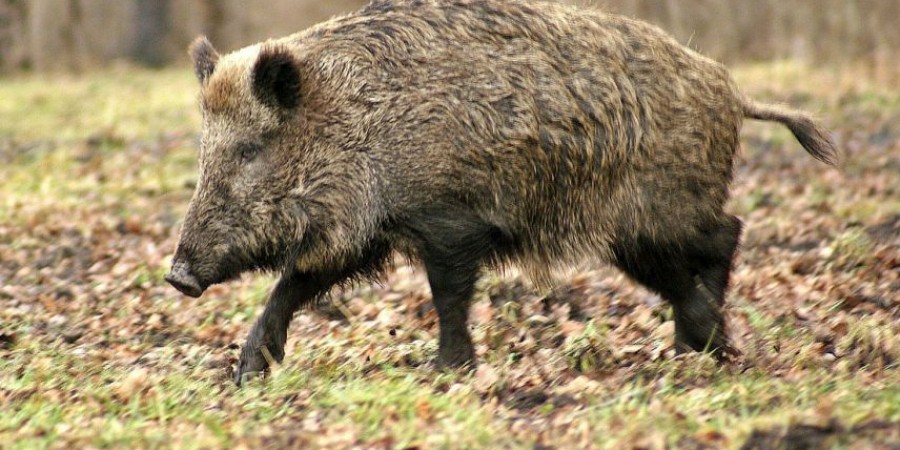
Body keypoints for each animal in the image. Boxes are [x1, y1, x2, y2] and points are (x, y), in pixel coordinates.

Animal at [164, 0, 838, 385]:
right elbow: (296, 282)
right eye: (204, 149)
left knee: (726, 236)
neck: (362, 121)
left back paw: (709, 349)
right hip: (643, 230)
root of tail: (733, 92)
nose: (178, 275)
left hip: (655, 217)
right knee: (701, 259)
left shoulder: (449, 219)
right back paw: (692, 351)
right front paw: (247, 373)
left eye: (252, 149)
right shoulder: (360, 232)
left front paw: (446, 371)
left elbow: (449, 295)